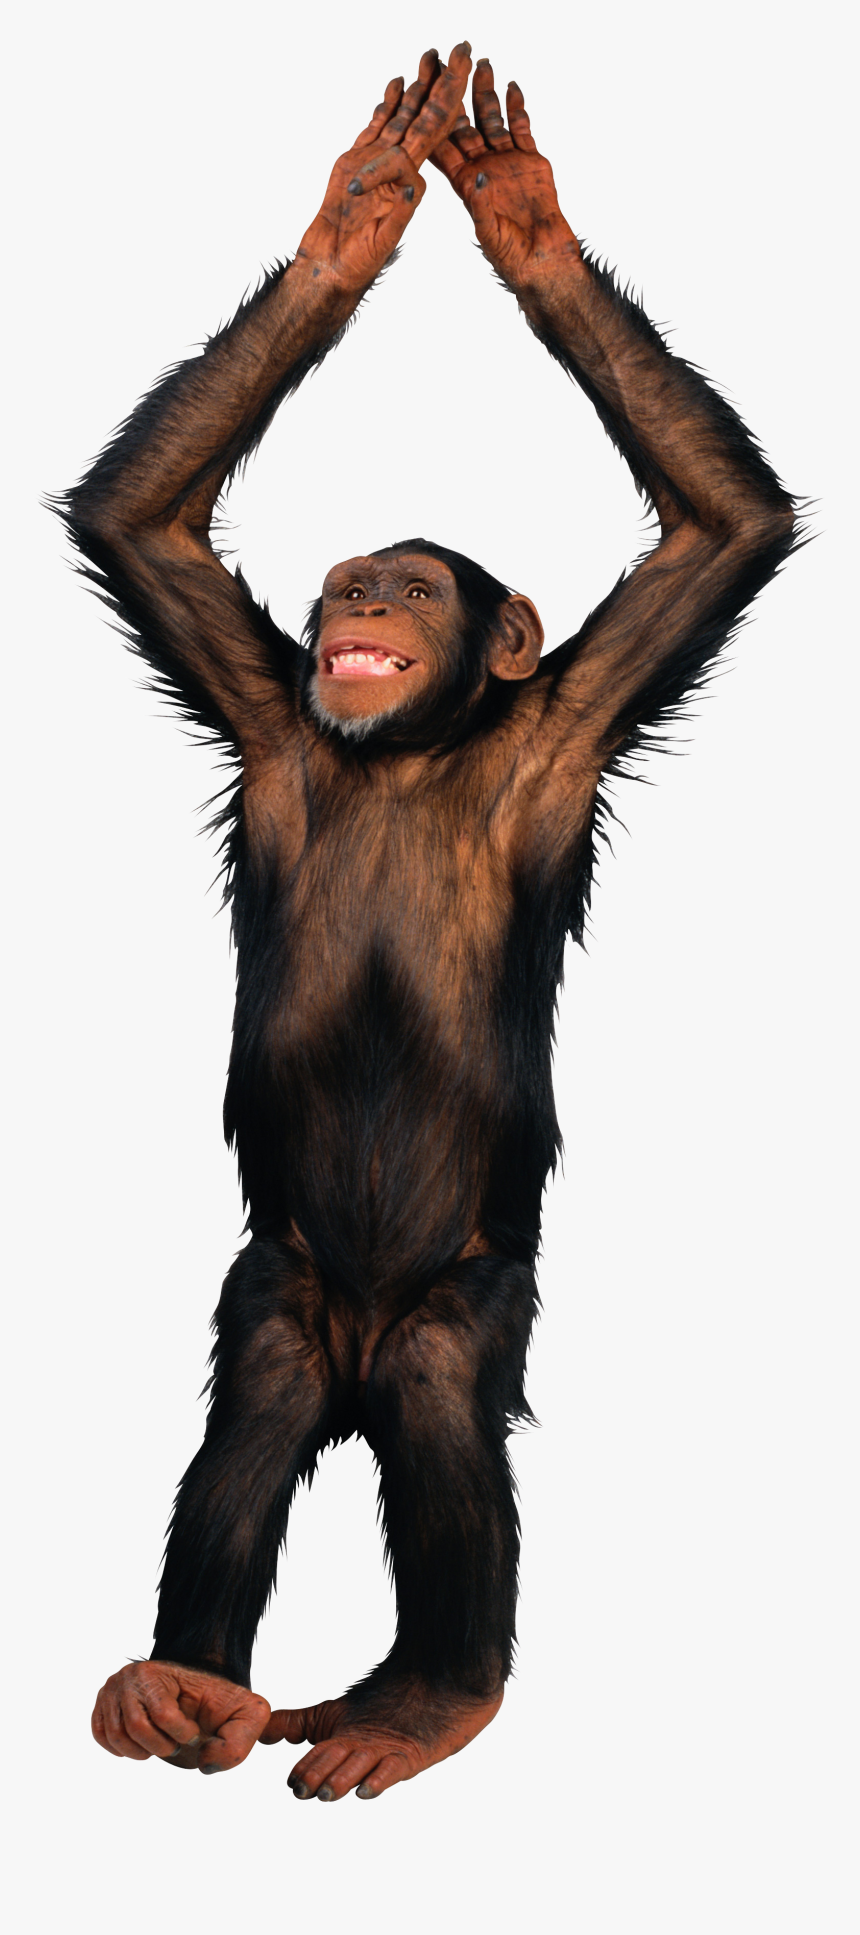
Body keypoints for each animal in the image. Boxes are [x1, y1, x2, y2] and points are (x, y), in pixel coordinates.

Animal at [60, 45, 796, 1801]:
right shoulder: (266, 705)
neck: (414, 746)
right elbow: (143, 525)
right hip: (279, 1281)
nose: (356, 601)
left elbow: (721, 530)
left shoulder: (575, 720)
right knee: (251, 1412)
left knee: (448, 1407)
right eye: (342, 583)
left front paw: (527, 222)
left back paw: (431, 1694)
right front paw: (359, 213)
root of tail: (354, 1354)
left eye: (405, 580)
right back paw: (179, 1684)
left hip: (464, 1296)